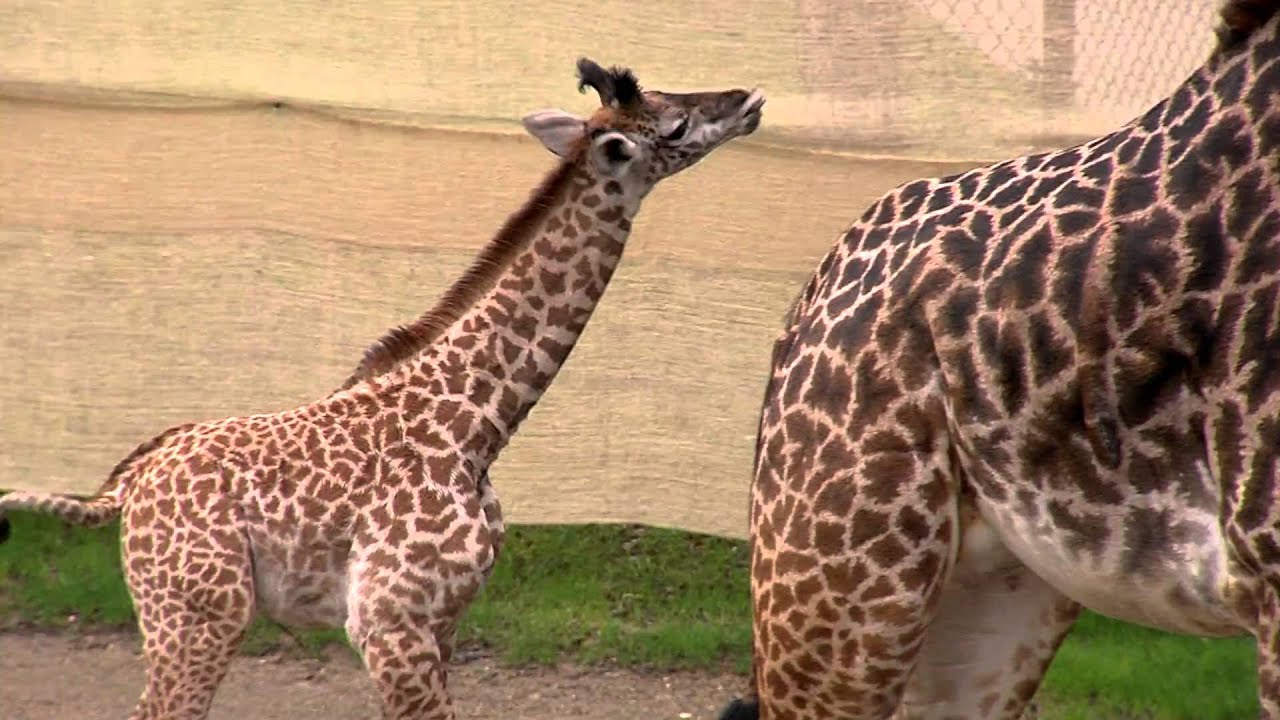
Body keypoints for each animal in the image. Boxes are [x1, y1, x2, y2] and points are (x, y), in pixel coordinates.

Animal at [0, 58, 764, 719]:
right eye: (673, 125)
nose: (748, 99)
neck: (477, 424)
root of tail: (126, 489)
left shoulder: (444, 619)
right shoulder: (390, 623)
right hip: (199, 615)